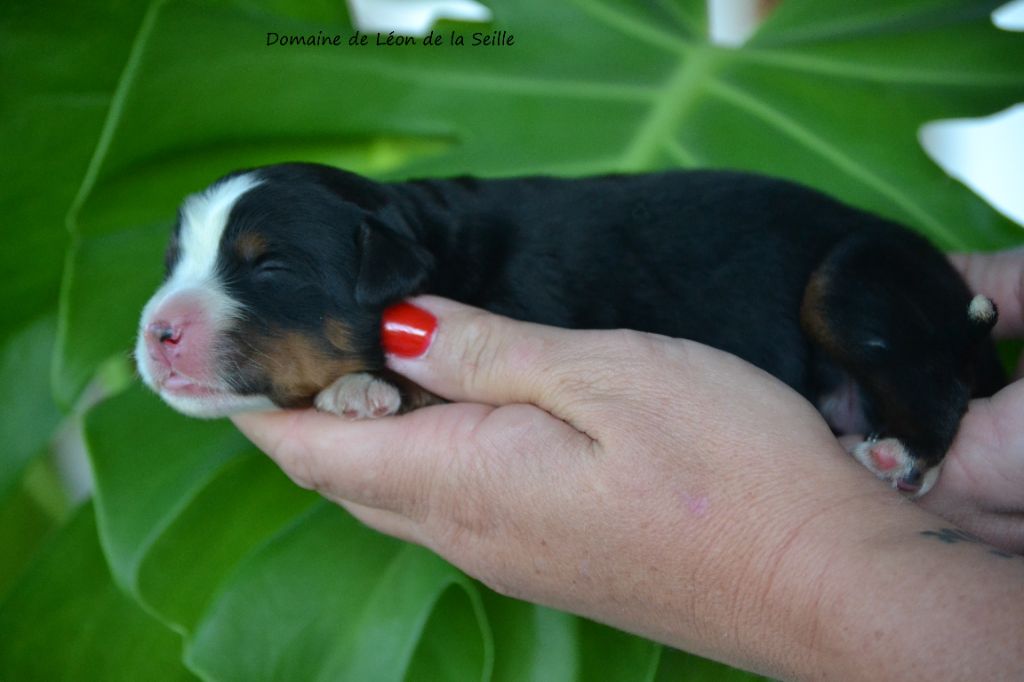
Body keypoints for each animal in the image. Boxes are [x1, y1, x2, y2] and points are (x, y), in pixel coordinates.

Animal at [134, 163, 999, 493]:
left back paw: (896, 453)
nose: (156, 333)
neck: (437, 246)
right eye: (173, 261)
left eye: (269, 268)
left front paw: (361, 387)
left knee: (938, 385)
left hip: (852, 273)